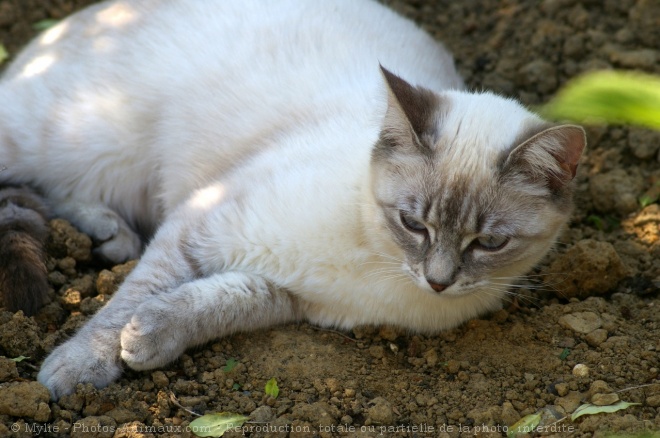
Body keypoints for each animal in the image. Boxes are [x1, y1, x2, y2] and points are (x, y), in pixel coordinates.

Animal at [1, 0, 588, 400]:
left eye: (489, 243)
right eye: (412, 223)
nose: (438, 281)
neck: (377, 257)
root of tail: (80, 19)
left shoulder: (287, 294)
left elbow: (211, 303)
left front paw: (147, 340)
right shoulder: (199, 226)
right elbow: (125, 302)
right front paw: (78, 369)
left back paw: (110, 233)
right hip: (70, 140)